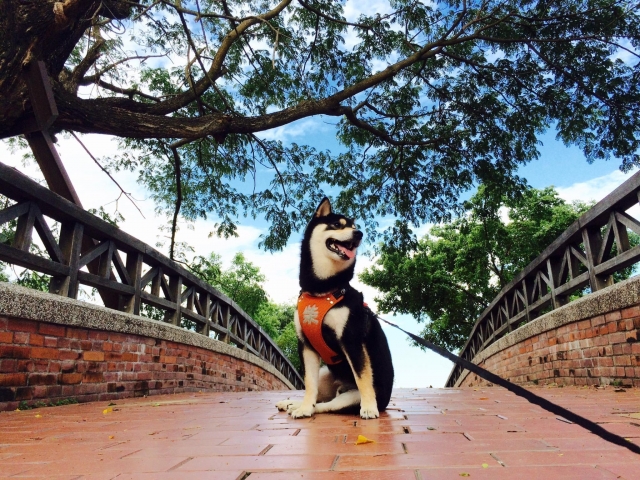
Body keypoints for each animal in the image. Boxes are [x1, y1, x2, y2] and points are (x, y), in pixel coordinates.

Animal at [276, 197, 392, 418]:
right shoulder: (305, 344)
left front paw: (369, 408)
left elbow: (363, 379)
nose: (358, 234)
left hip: (349, 398)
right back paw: (293, 404)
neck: (323, 290)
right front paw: (304, 408)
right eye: (338, 224)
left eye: (355, 227)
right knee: (319, 396)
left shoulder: (351, 339)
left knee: (328, 405)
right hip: (324, 373)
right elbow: (309, 384)